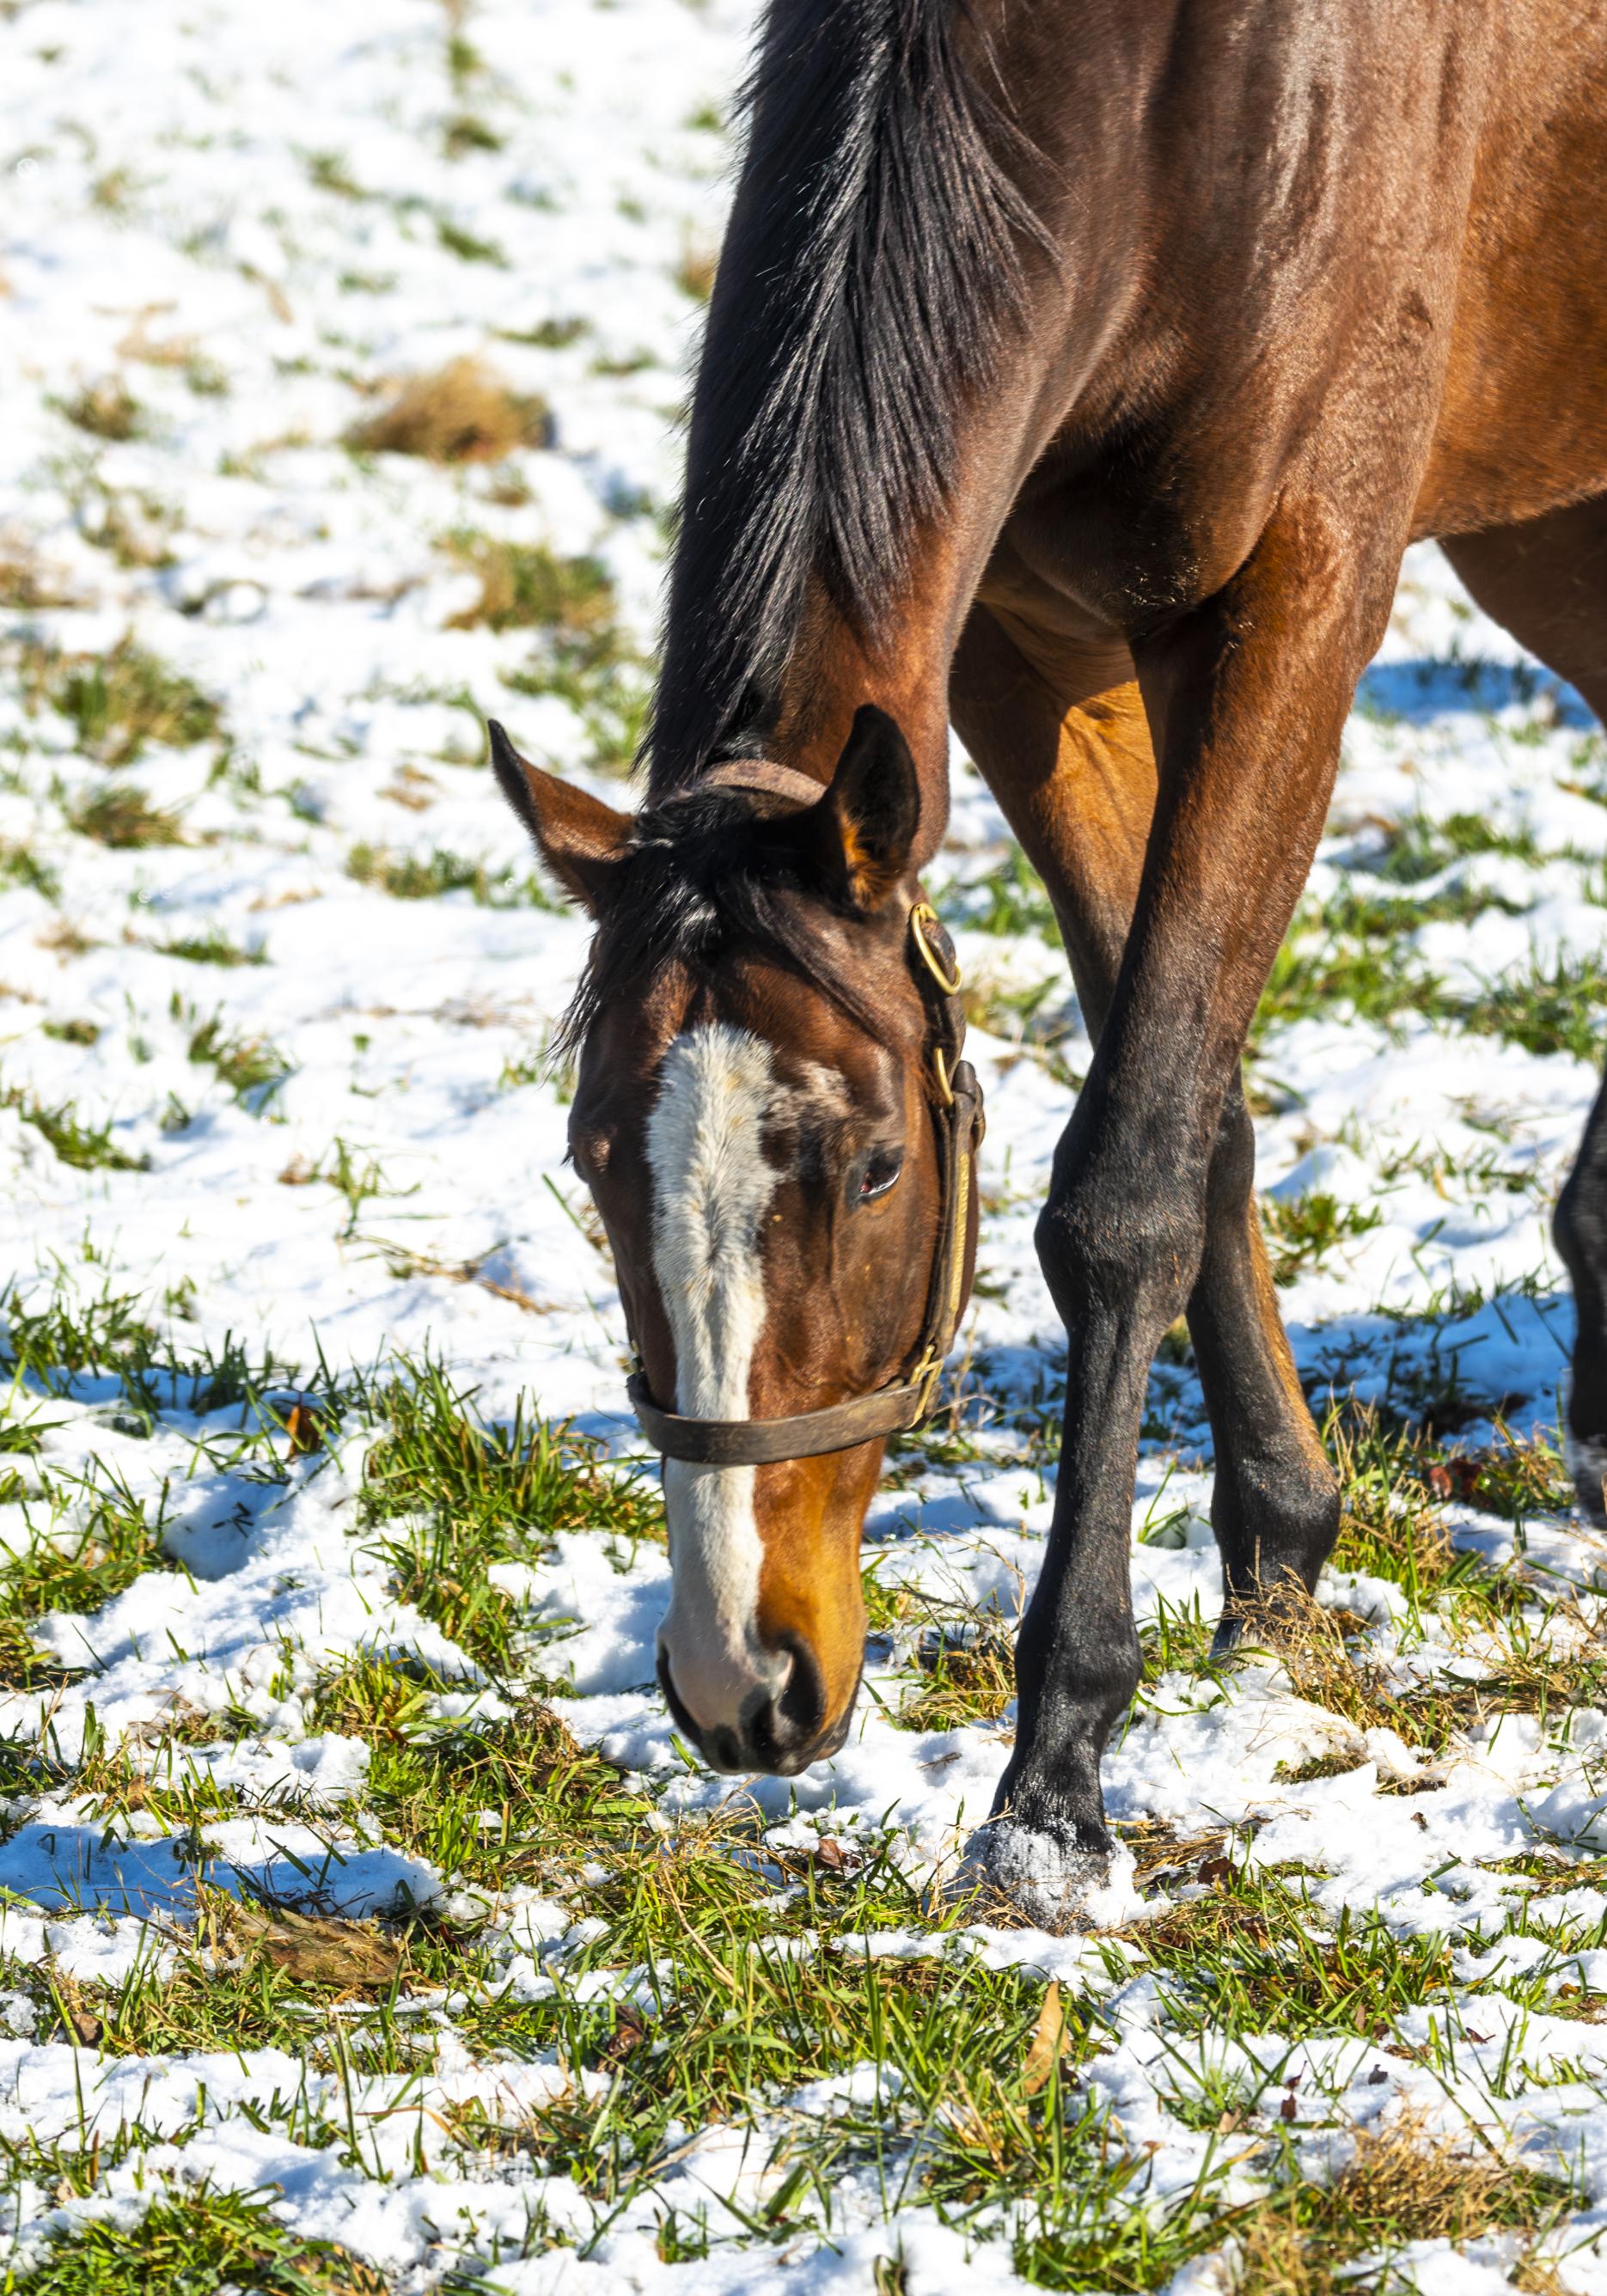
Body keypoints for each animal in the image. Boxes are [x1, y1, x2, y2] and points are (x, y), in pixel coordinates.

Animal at [489, 0, 1607, 1928]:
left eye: (873, 1166)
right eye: (594, 1160)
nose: (741, 1681)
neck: (1171, 94)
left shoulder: (1294, 601)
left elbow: (1126, 1183)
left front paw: (1055, 1773)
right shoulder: (1020, 646)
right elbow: (1197, 1112)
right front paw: (1278, 1544)